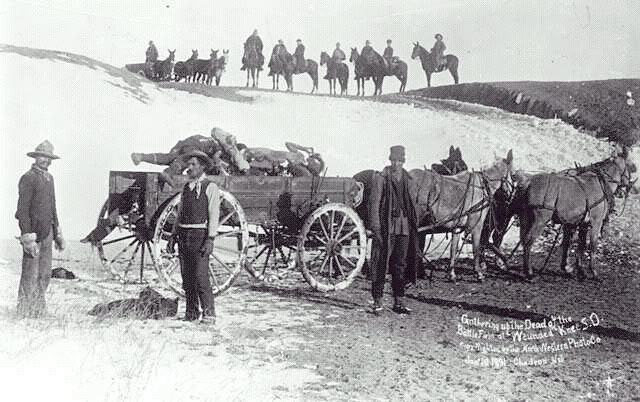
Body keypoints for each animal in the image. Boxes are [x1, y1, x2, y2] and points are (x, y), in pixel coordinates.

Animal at [500, 148, 636, 280]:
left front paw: (579, 271)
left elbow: (578, 245)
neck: (600, 183)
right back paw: (529, 272)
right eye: (631, 166)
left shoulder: (581, 224)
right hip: (540, 220)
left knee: (523, 239)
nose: (630, 187)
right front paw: (594, 272)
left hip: (525, 217)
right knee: (529, 240)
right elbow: (592, 245)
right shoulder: (595, 222)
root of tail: (528, 181)